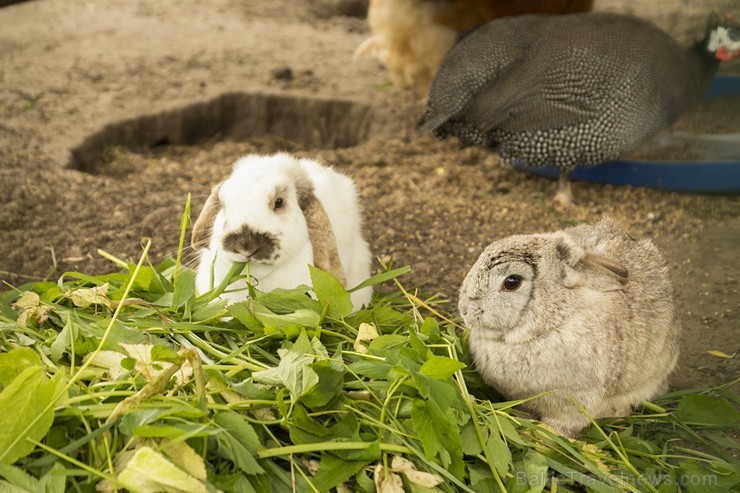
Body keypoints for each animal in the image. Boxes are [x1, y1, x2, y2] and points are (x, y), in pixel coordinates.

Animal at [456, 217, 684, 436]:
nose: (464, 309)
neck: (551, 321)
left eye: (512, 282)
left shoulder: (576, 405)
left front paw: (547, 436)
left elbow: (563, 427)